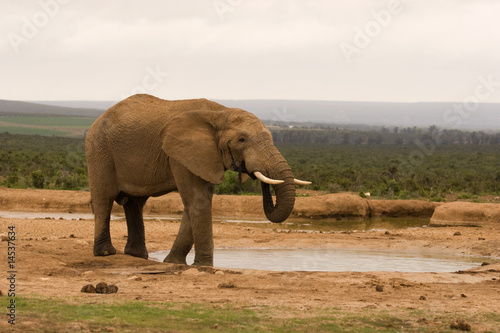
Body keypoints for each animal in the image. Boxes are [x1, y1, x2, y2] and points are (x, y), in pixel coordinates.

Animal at [85, 93, 310, 264]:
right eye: (242, 140)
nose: (253, 172)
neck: (219, 112)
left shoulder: (205, 157)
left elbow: (196, 203)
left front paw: (174, 263)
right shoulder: (181, 154)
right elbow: (198, 200)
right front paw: (204, 267)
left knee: (135, 204)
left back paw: (137, 256)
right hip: (99, 149)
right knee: (104, 199)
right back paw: (106, 253)